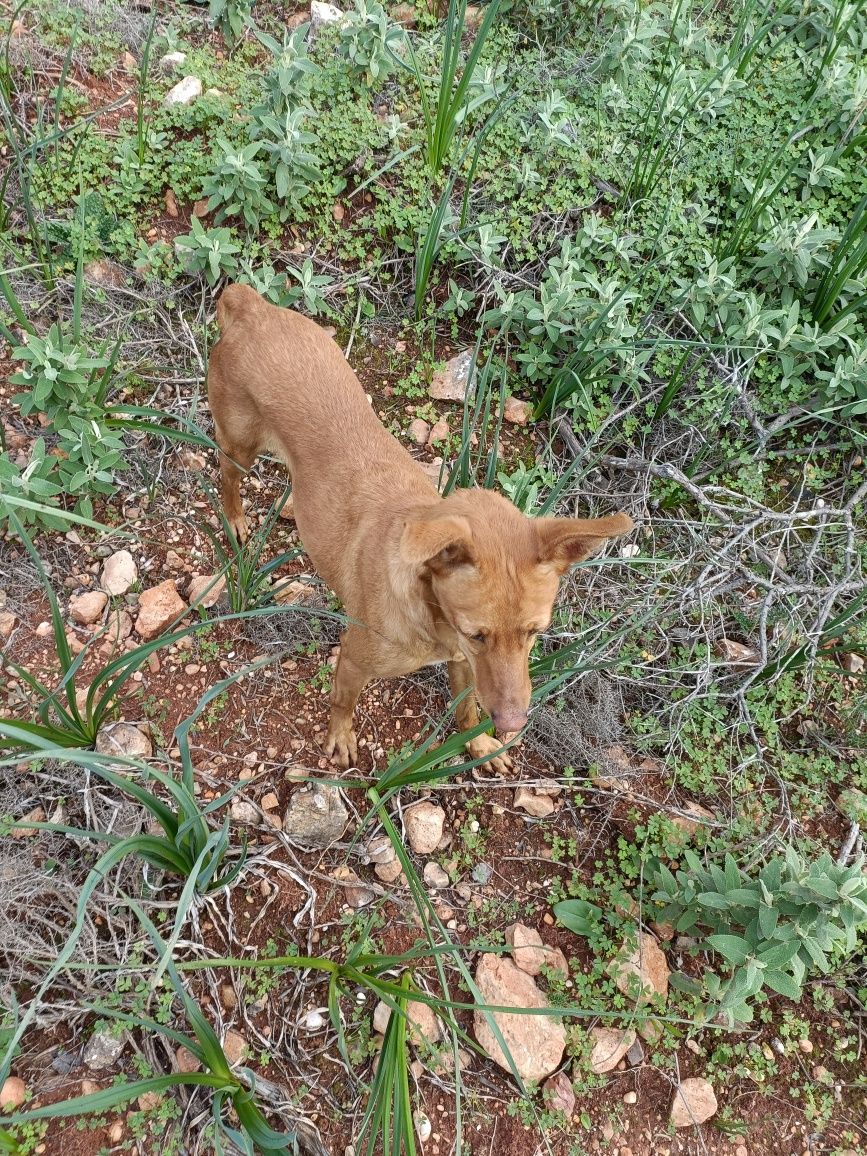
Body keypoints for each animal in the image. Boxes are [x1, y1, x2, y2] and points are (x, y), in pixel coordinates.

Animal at [206, 282, 633, 767]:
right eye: (477, 633)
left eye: (534, 633)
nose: (511, 724)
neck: (432, 618)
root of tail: (250, 307)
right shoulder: (355, 657)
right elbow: (342, 701)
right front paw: (340, 738)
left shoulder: (464, 663)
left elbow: (466, 709)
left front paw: (478, 745)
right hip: (239, 446)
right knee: (226, 478)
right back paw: (236, 522)